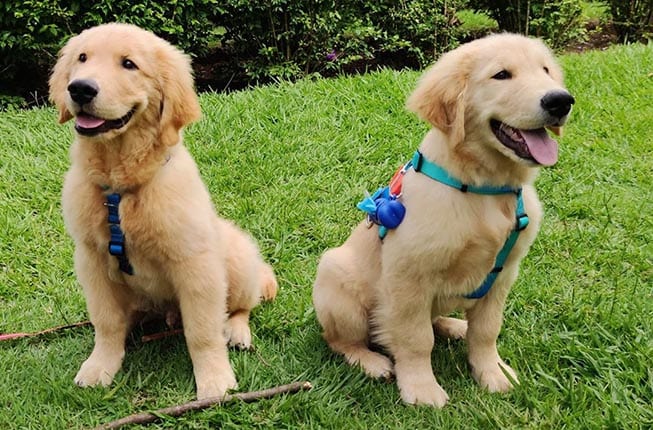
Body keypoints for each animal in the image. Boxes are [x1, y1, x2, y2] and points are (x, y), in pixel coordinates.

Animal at [48, 23, 276, 400]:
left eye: (128, 64)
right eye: (82, 58)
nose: (79, 88)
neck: (120, 189)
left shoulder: (195, 263)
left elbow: (202, 331)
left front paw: (215, 380)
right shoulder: (90, 258)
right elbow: (106, 321)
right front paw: (100, 366)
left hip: (238, 258)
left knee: (244, 303)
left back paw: (237, 331)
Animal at [310, 33, 572, 406]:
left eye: (546, 70)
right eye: (501, 75)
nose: (560, 101)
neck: (484, 188)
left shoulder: (504, 273)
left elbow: (487, 330)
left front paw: (492, 371)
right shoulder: (408, 277)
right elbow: (415, 338)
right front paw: (421, 388)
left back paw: (454, 326)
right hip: (338, 285)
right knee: (339, 339)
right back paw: (371, 361)